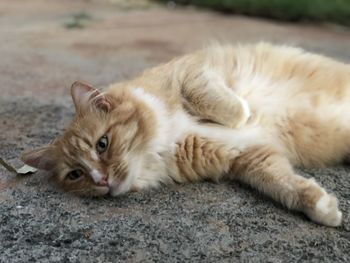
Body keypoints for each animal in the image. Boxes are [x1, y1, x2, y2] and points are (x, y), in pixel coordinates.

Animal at [20, 42, 348, 227]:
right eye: (75, 175)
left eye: (102, 144)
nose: (101, 181)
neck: (165, 137)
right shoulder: (249, 158)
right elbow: (287, 187)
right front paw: (324, 209)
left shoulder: (190, 73)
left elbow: (217, 102)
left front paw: (243, 112)